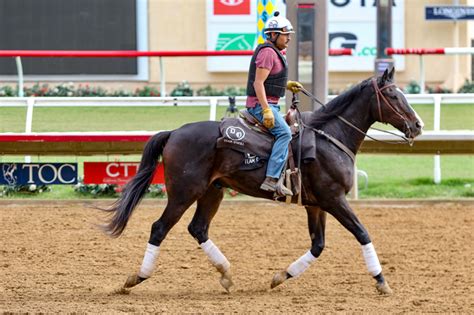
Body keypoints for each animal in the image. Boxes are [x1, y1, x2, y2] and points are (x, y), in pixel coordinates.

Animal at [102, 68, 424, 296]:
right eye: (394, 96)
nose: (418, 125)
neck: (328, 137)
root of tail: (174, 133)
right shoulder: (334, 199)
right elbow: (362, 233)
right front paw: (381, 281)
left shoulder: (316, 205)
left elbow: (318, 245)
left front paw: (280, 277)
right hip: (183, 193)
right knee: (159, 228)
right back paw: (136, 278)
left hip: (212, 192)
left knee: (198, 228)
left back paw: (226, 274)